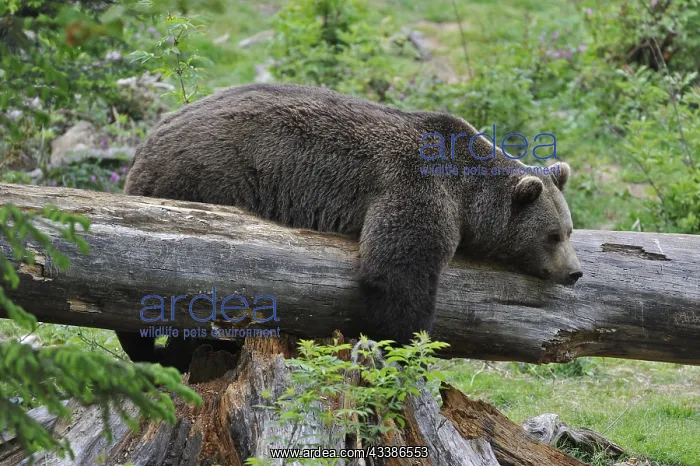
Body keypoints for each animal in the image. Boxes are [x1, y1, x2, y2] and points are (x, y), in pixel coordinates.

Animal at [116, 83, 582, 368]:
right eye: (553, 235)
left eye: (569, 231)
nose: (575, 272)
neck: (468, 193)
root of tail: (147, 145)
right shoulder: (415, 188)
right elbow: (396, 272)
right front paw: (407, 344)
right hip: (203, 178)